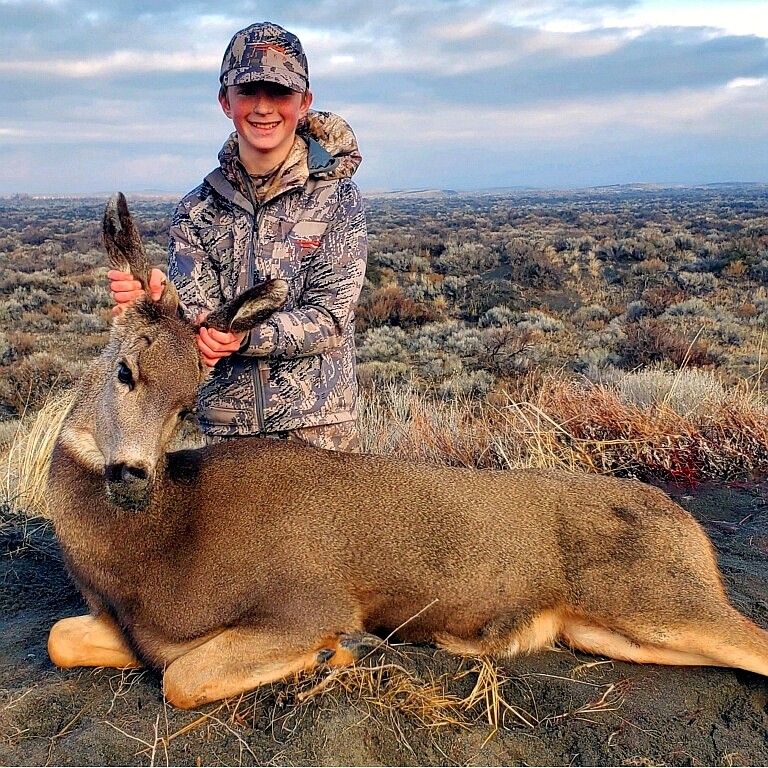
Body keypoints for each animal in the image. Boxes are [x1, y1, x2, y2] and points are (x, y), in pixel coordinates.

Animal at [46, 193, 768, 710]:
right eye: (125, 372)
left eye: (186, 404)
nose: (133, 475)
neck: (160, 547)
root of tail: (693, 532)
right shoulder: (128, 629)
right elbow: (63, 640)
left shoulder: (306, 602)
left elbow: (182, 678)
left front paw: (341, 652)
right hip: (607, 628)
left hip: (661, 597)